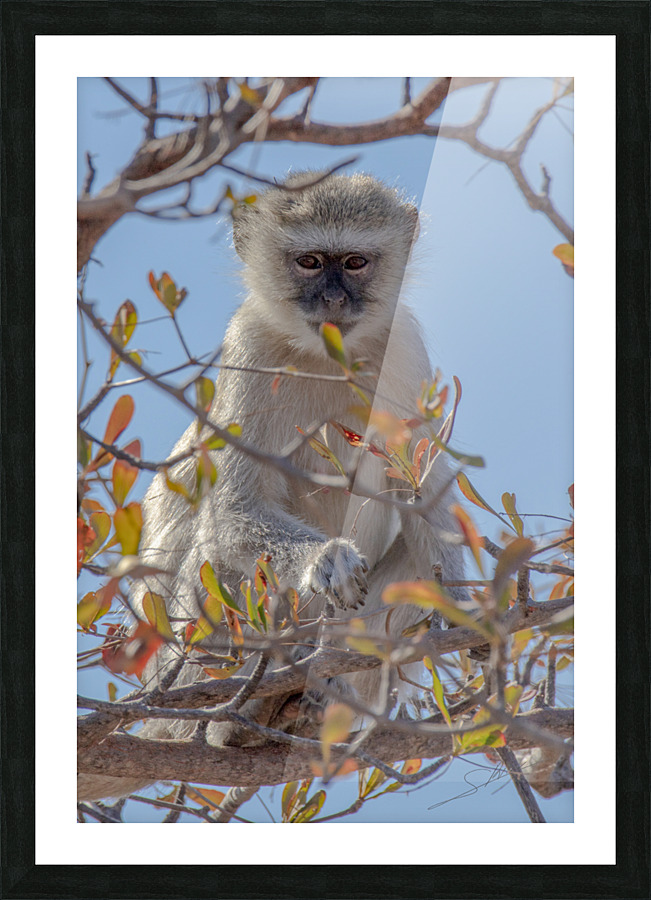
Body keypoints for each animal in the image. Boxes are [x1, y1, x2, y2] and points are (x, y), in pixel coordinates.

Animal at [77, 172, 470, 802]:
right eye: (309, 262)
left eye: (355, 262)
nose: (334, 301)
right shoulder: (249, 346)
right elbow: (234, 512)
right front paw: (327, 559)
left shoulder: (405, 348)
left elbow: (423, 495)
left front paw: (470, 621)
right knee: (220, 556)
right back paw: (236, 721)